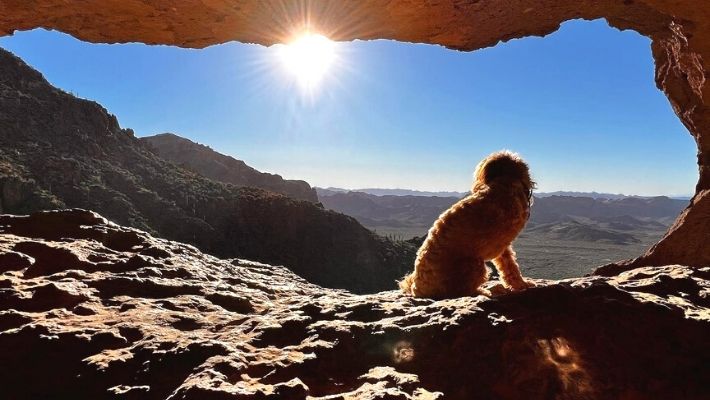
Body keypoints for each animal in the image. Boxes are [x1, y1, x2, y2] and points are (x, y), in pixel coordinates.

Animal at [404, 152, 536, 298]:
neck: (501, 183)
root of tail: (417, 289)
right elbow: (511, 266)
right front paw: (521, 284)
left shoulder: (502, 247)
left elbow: (508, 266)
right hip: (473, 264)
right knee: (464, 290)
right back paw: (487, 290)